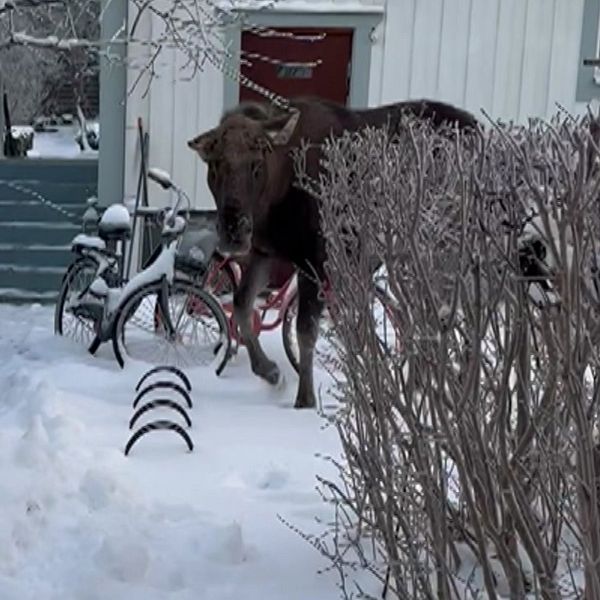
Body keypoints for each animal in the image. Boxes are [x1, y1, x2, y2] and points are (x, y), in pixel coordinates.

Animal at [190, 96, 480, 410]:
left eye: (257, 165)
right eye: (215, 165)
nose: (234, 229)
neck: (274, 200)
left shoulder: (314, 260)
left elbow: (305, 330)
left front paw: (305, 398)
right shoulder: (264, 252)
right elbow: (243, 306)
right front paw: (271, 372)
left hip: (447, 250)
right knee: (427, 315)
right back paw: (423, 386)